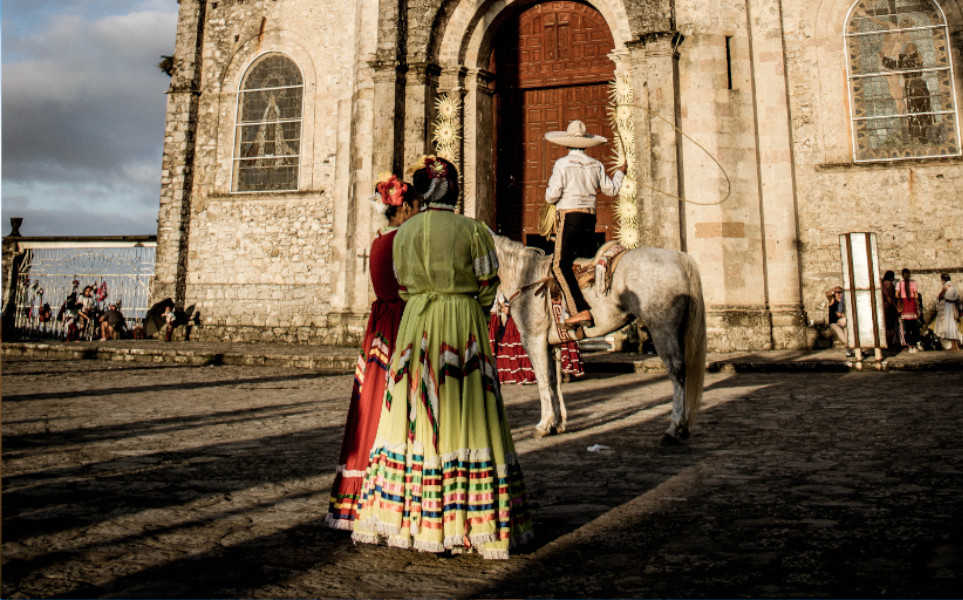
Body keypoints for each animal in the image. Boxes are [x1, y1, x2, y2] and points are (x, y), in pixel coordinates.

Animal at [494, 236, 704, 446]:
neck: (525, 276)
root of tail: (679, 257)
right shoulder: (552, 344)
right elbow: (554, 381)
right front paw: (557, 424)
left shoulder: (533, 339)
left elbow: (543, 381)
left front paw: (543, 425)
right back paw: (683, 427)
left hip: (663, 330)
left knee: (677, 372)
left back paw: (674, 429)